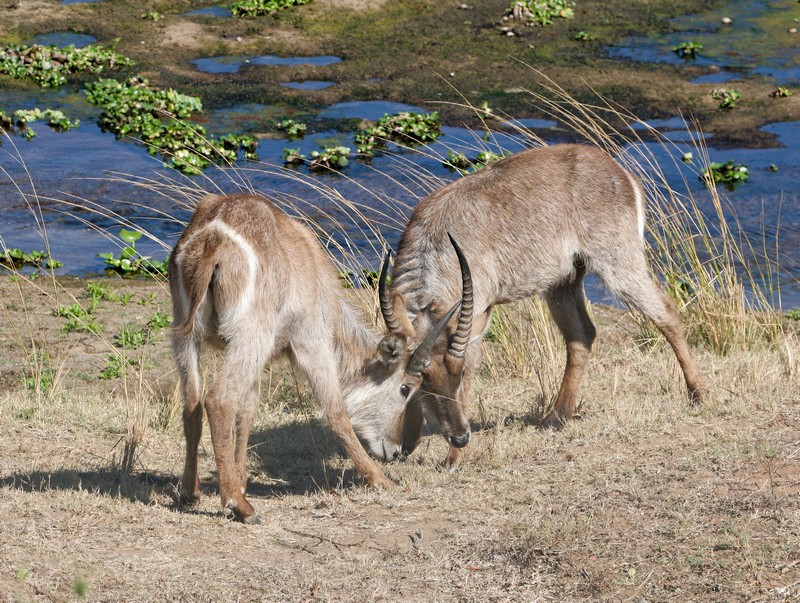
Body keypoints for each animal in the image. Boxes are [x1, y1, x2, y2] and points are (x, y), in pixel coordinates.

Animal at [170, 193, 468, 524]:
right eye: (406, 388)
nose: (394, 450)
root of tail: (214, 237)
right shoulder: (312, 342)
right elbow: (336, 411)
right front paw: (380, 479)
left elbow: (247, 410)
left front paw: (241, 479)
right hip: (251, 337)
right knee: (219, 400)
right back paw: (239, 506)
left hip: (186, 336)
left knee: (193, 405)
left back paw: (190, 492)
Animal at [382, 144, 708, 470]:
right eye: (422, 382)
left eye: (460, 374)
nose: (460, 438)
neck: (437, 242)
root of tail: (618, 170)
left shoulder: (474, 316)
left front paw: (453, 458)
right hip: (564, 281)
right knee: (582, 336)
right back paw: (557, 416)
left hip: (618, 264)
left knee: (666, 312)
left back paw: (698, 394)